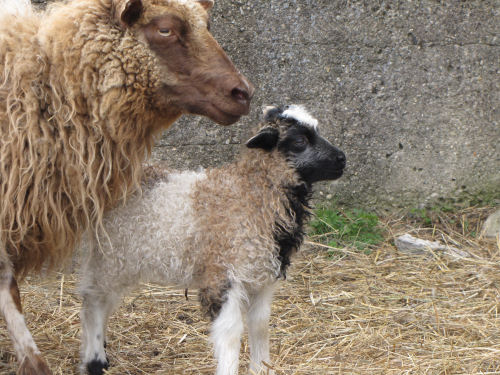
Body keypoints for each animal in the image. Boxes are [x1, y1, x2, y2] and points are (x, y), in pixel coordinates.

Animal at [78, 106, 346, 375]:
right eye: (300, 141)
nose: (342, 159)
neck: (252, 194)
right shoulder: (223, 276)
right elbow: (230, 333)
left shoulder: (261, 278)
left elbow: (260, 325)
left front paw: (260, 367)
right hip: (111, 255)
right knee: (93, 299)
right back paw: (95, 359)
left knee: (104, 301)